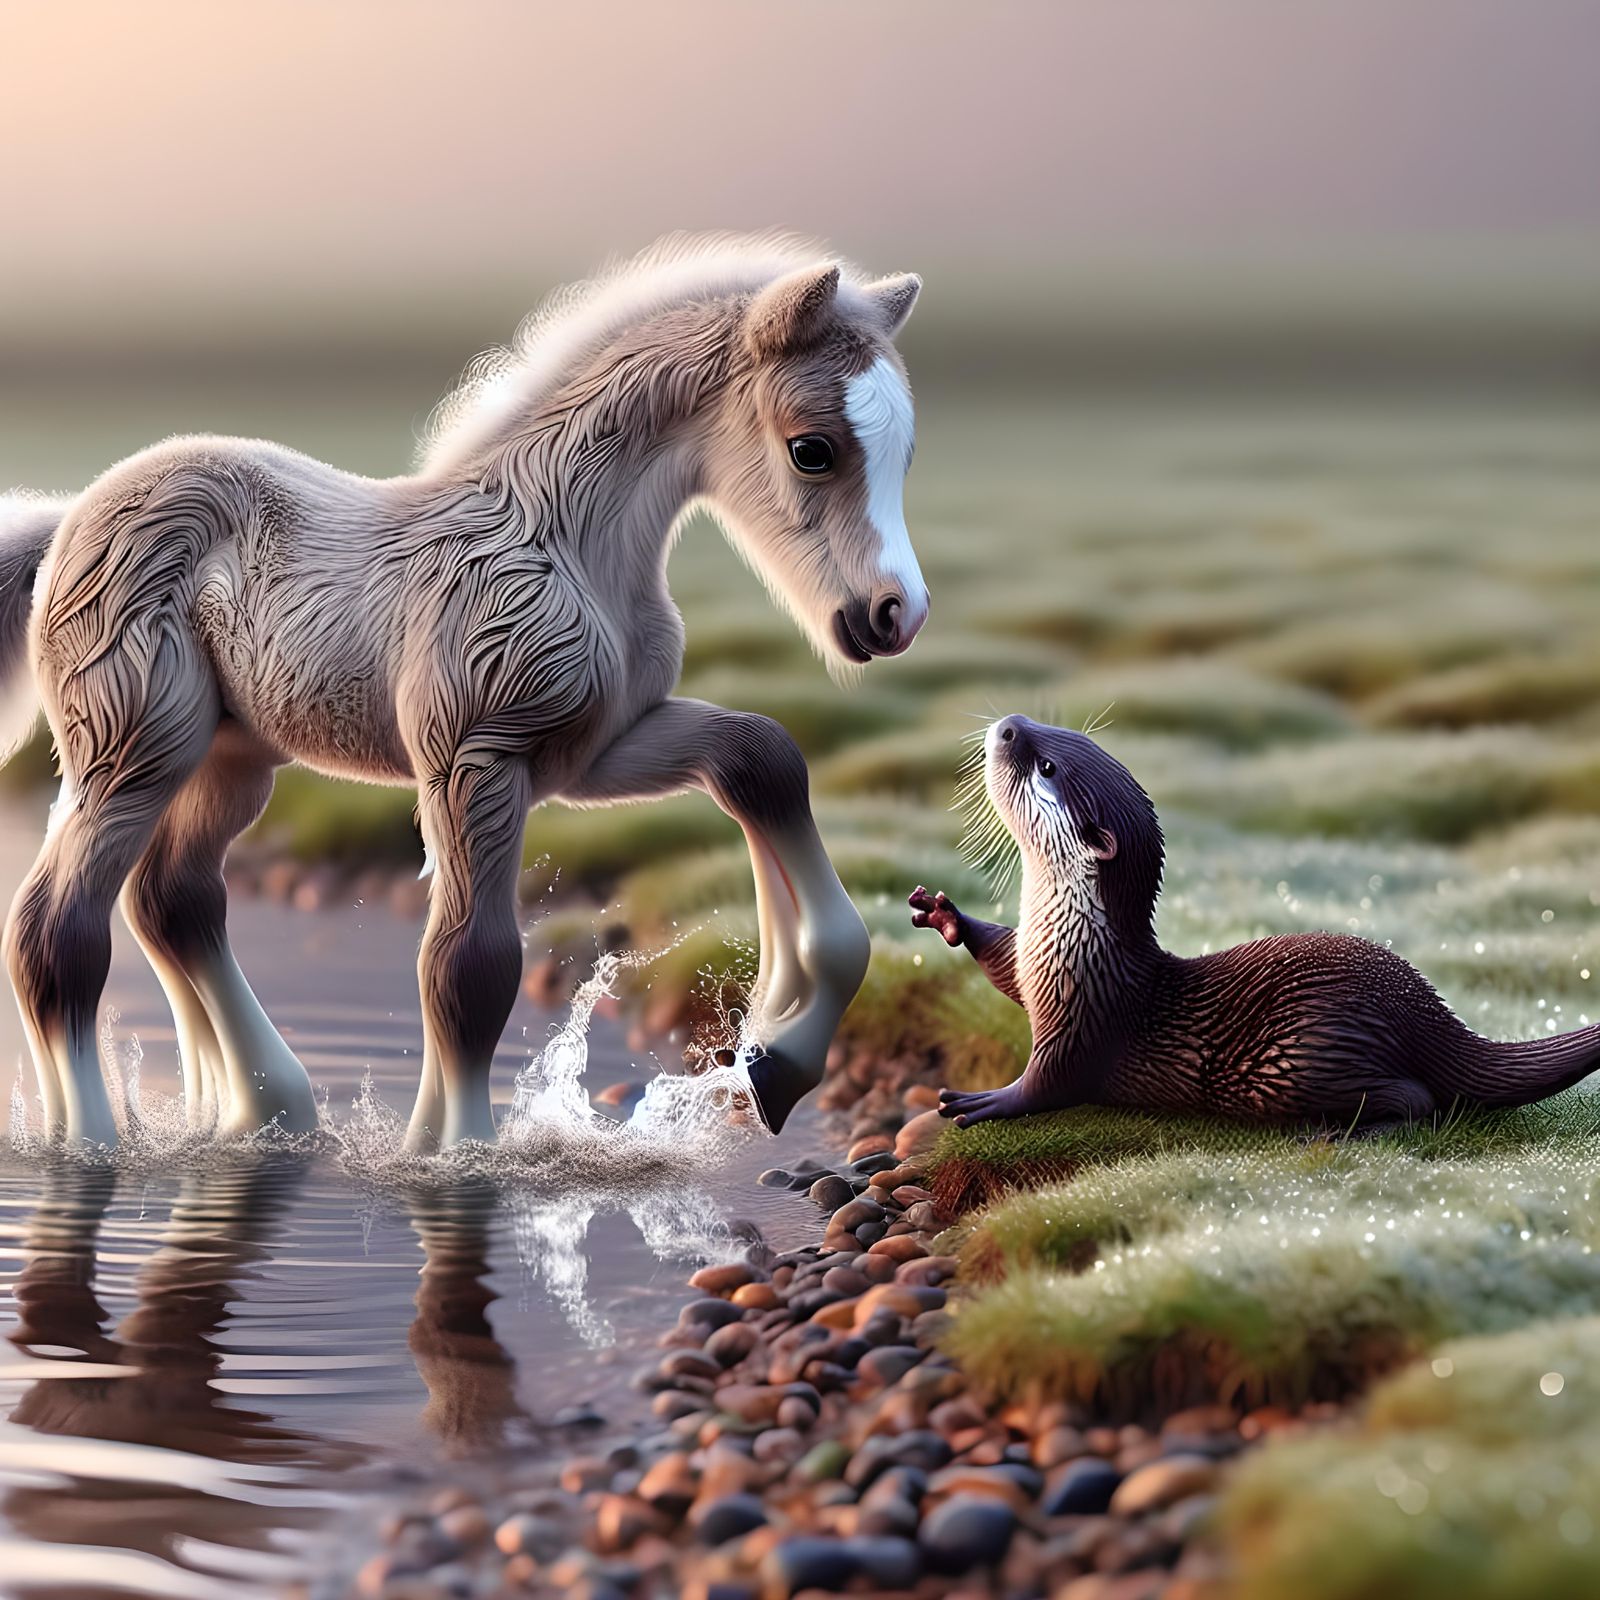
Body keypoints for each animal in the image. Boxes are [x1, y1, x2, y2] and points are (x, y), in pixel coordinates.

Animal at [910, 714, 1600, 1132]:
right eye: (1056, 730)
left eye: (1047, 766)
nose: (1008, 725)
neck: (1069, 935)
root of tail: (1430, 1018)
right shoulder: (1032, 963)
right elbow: (1003, 966)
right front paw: (944, 915)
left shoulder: (1083, 1018)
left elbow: (1049, 1082)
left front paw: (982, 1101)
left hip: (1313, 1054)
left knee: (1421, 1100)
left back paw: (1346, 1134)